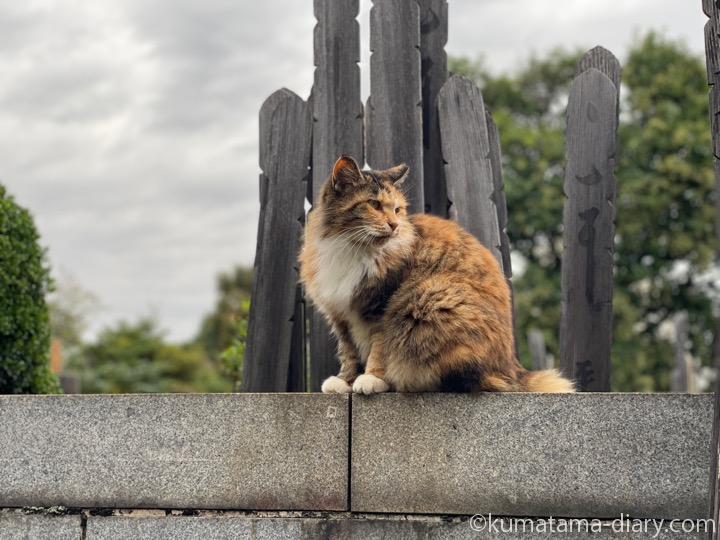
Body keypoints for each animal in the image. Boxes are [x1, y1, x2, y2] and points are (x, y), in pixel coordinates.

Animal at [298, 154, 572, 394]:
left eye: (397, 210)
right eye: (373, 204)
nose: (394, 225)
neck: (352, 248)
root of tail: (514, 371)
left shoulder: (383, 308)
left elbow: (379, 349)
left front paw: (372, 379)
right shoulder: (342, 316)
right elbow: (349, 354)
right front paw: (344, 381)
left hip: (432, 299)